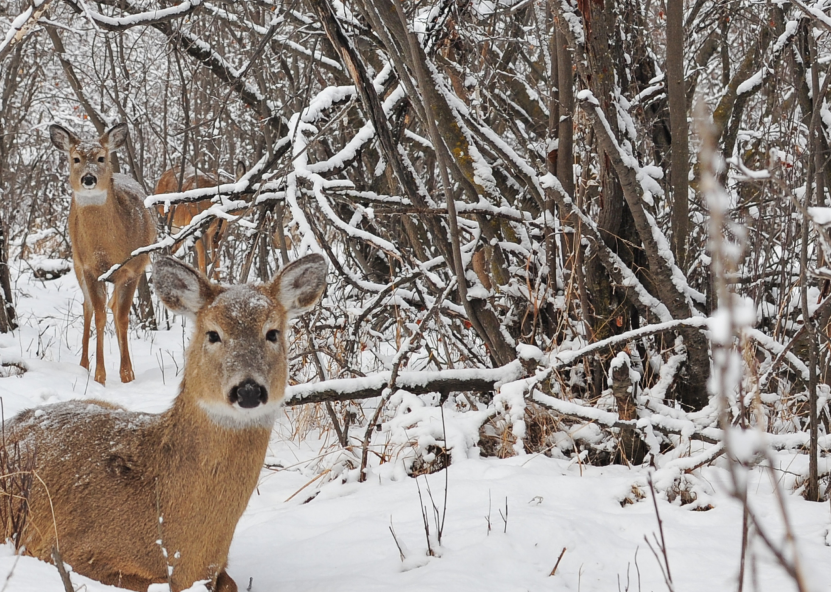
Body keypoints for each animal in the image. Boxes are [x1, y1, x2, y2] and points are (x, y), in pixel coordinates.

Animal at [49, 122, 158, 386]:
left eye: (101, 157)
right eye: (76, 158)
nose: (89, 178)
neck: (107, 250)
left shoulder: (132, 269)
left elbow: (122, 317)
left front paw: (127, 374)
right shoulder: (90, 269)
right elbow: (99, 315)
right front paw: (100, 375)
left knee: (114, 308)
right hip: (77, 264)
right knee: (88, 306)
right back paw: (83, 365)